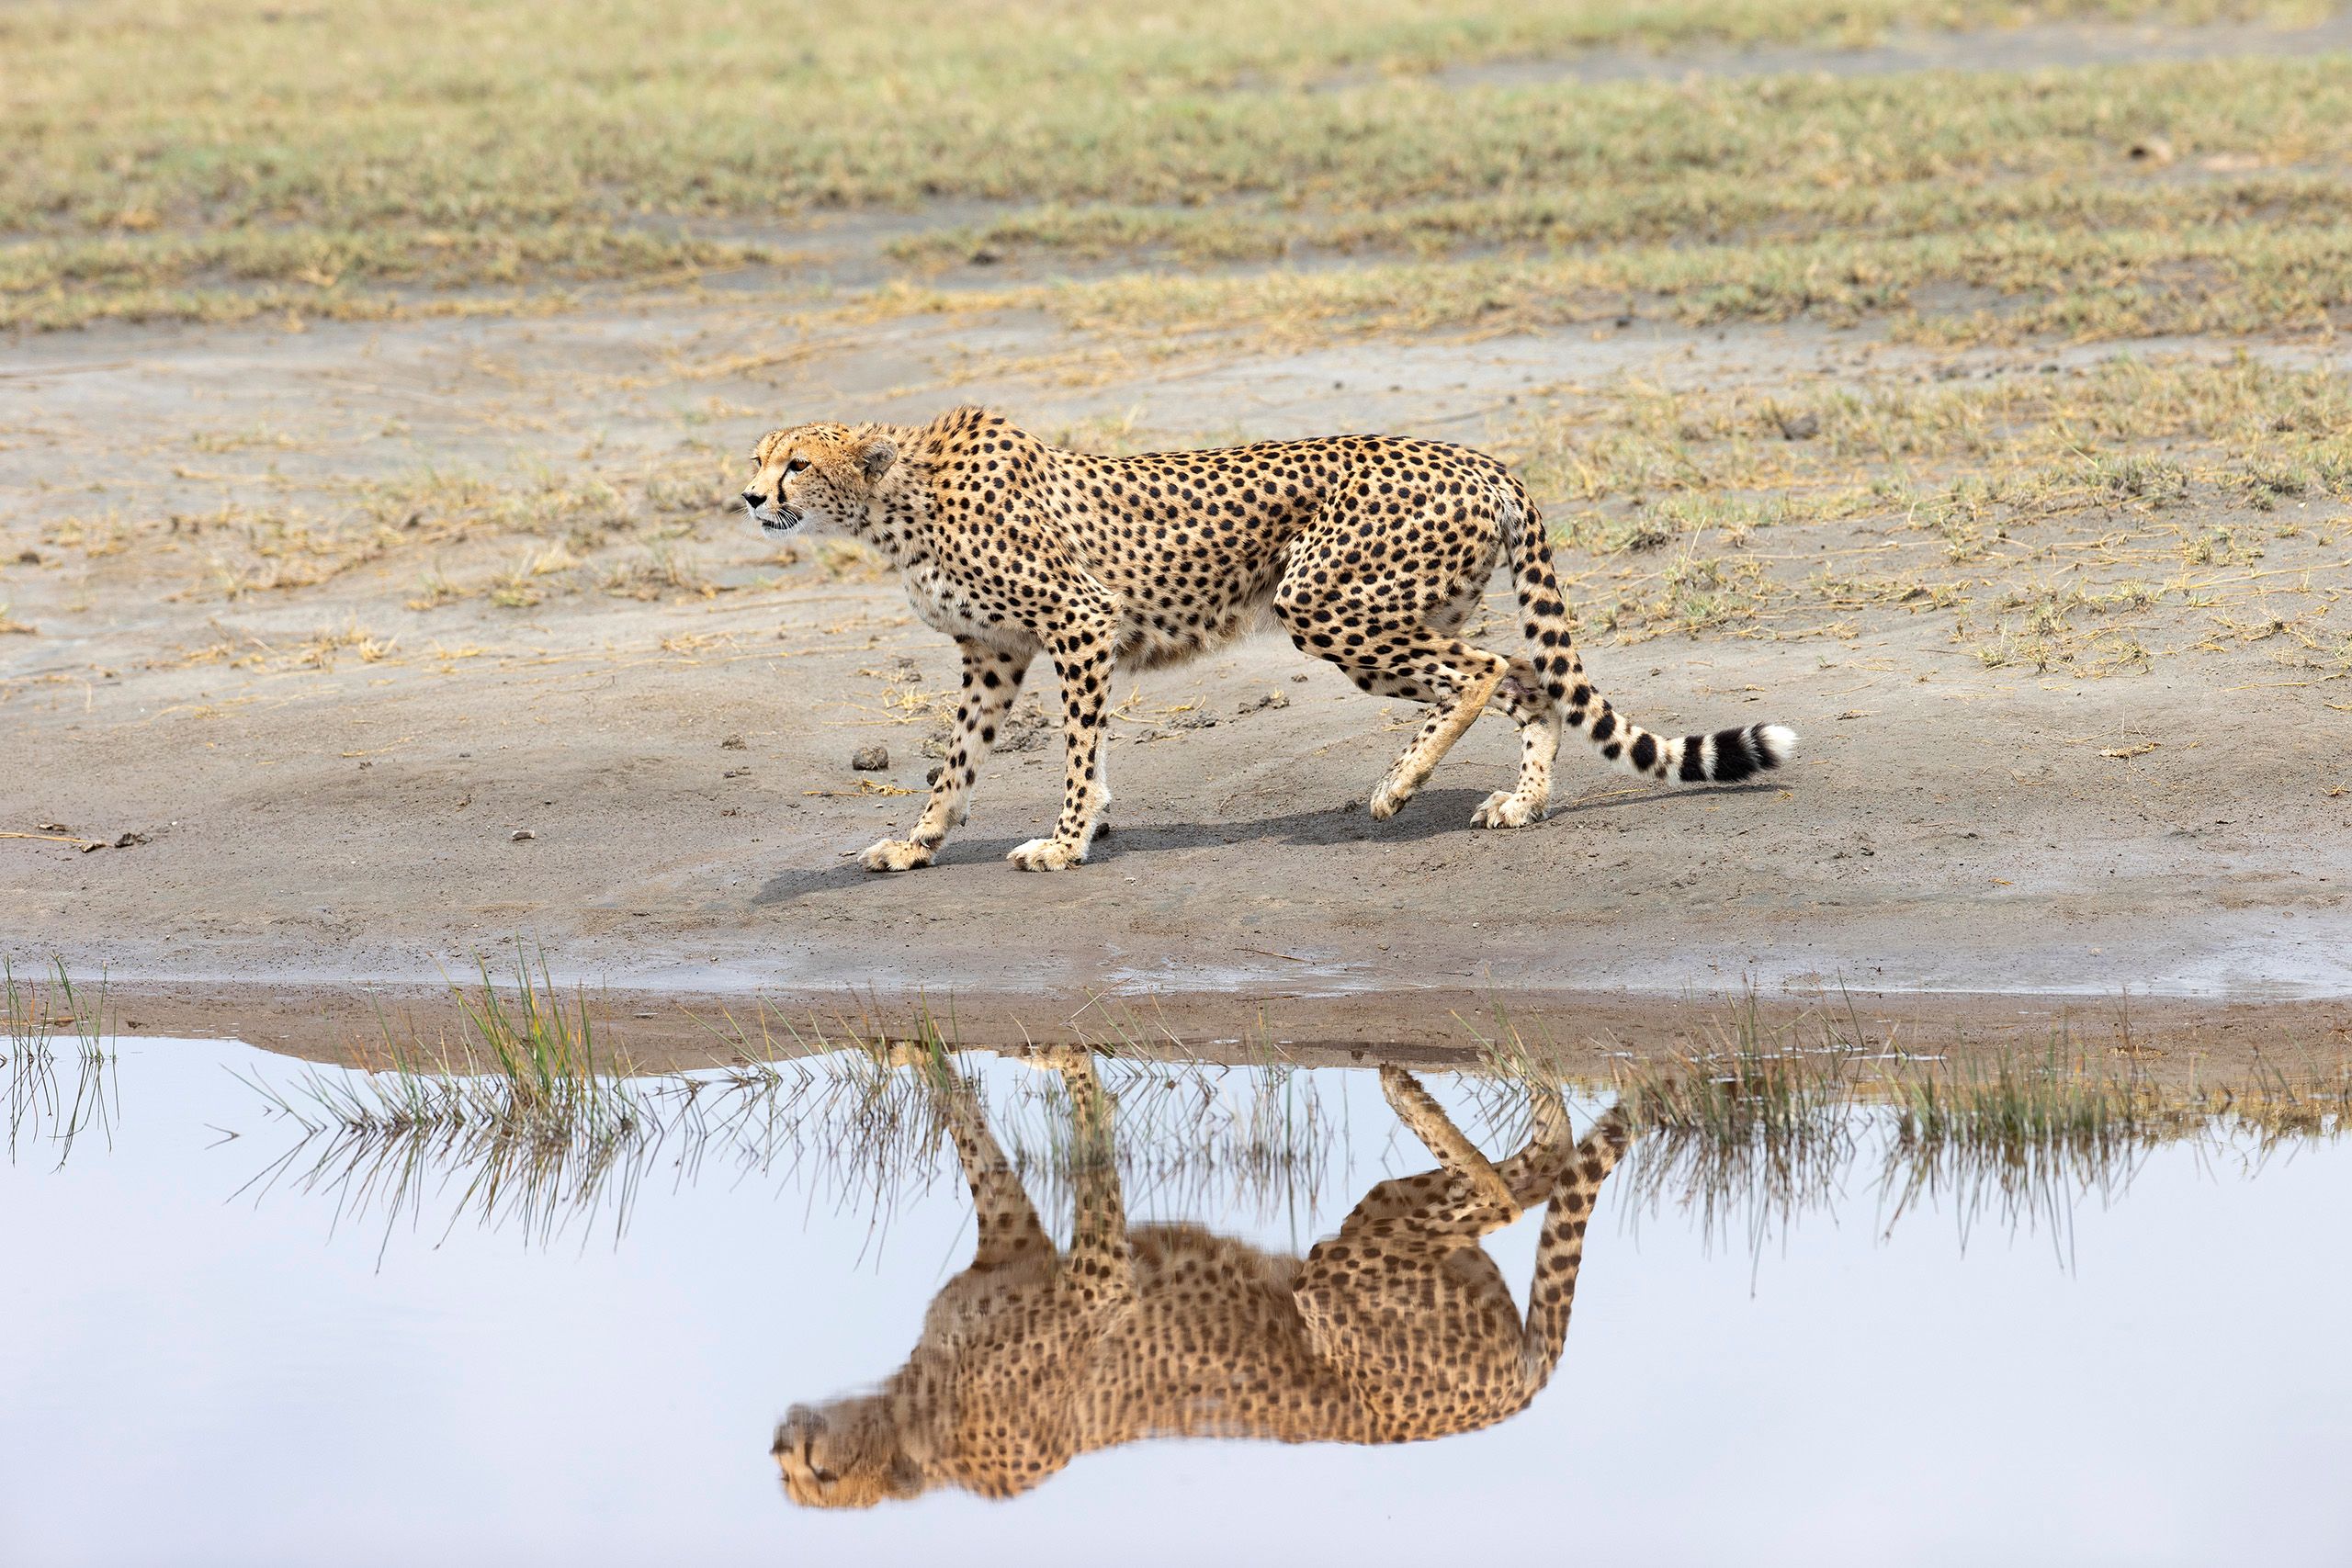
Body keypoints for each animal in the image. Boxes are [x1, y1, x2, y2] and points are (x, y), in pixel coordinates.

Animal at [741, 407, 1796, 873]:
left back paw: (1399, 782)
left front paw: (1068, 839)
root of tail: (1480, 456)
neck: (893, 502)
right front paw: (917, 842)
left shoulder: (1079, 624)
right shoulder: (993, 653)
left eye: (795, 464)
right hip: (1410, 602)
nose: (750, 497)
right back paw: (1519, 802)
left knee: (1488, 668)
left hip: (1322, 599)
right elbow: (955, 763)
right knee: (1531, 676)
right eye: (757, 458)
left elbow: (1079, 754)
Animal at [771, 1049, 1636, 1507]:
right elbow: (964, 1119)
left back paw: (1410, 1094)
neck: (910, 1419)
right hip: (1390, 1237)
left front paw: (1067, 1060)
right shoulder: (1013, 1239)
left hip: (1335, 1283)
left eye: (818, 1475)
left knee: (1509, 1192)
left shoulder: (1098, 1281)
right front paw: (906, 1051)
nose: (780, 1440)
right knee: (1545, 1162)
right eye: (787, 1473)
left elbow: (1086, 1132)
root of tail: (1521, 1390)